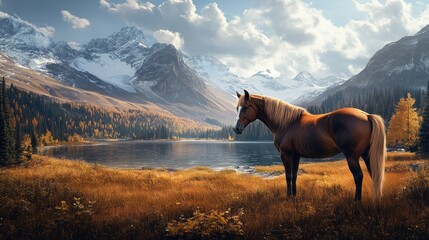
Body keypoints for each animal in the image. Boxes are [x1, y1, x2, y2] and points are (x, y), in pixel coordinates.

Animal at [232, 90, 386, 201]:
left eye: (245, 107)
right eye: (237, 108)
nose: (236, 129)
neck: (287, 123)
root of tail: (366, 115)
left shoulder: (286, 154)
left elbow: (288, 175)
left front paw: (288, 196)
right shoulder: (296, 156)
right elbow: (294, 175)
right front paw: (294, 196)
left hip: (352, 156)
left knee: (358, 176)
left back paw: (357, 200)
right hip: (366, 154)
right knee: (373, 173)